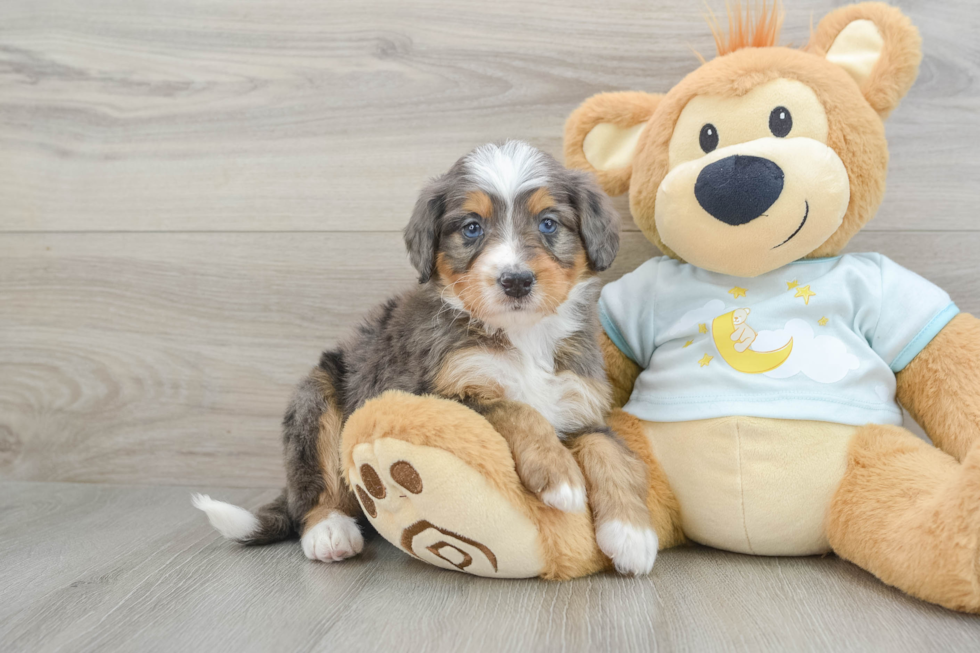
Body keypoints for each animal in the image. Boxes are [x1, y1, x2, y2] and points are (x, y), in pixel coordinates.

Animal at [195, 140, 660, 572]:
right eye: (471, 228)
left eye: (548, 223)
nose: (516, 281)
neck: (522, 335)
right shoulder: (442, 394)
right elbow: (515, 408)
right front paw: (559, 476)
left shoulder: (579, 403)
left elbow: (609, 451)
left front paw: (631, 533)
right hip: (317, 395)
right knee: (313, 486)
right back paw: (329, 532)